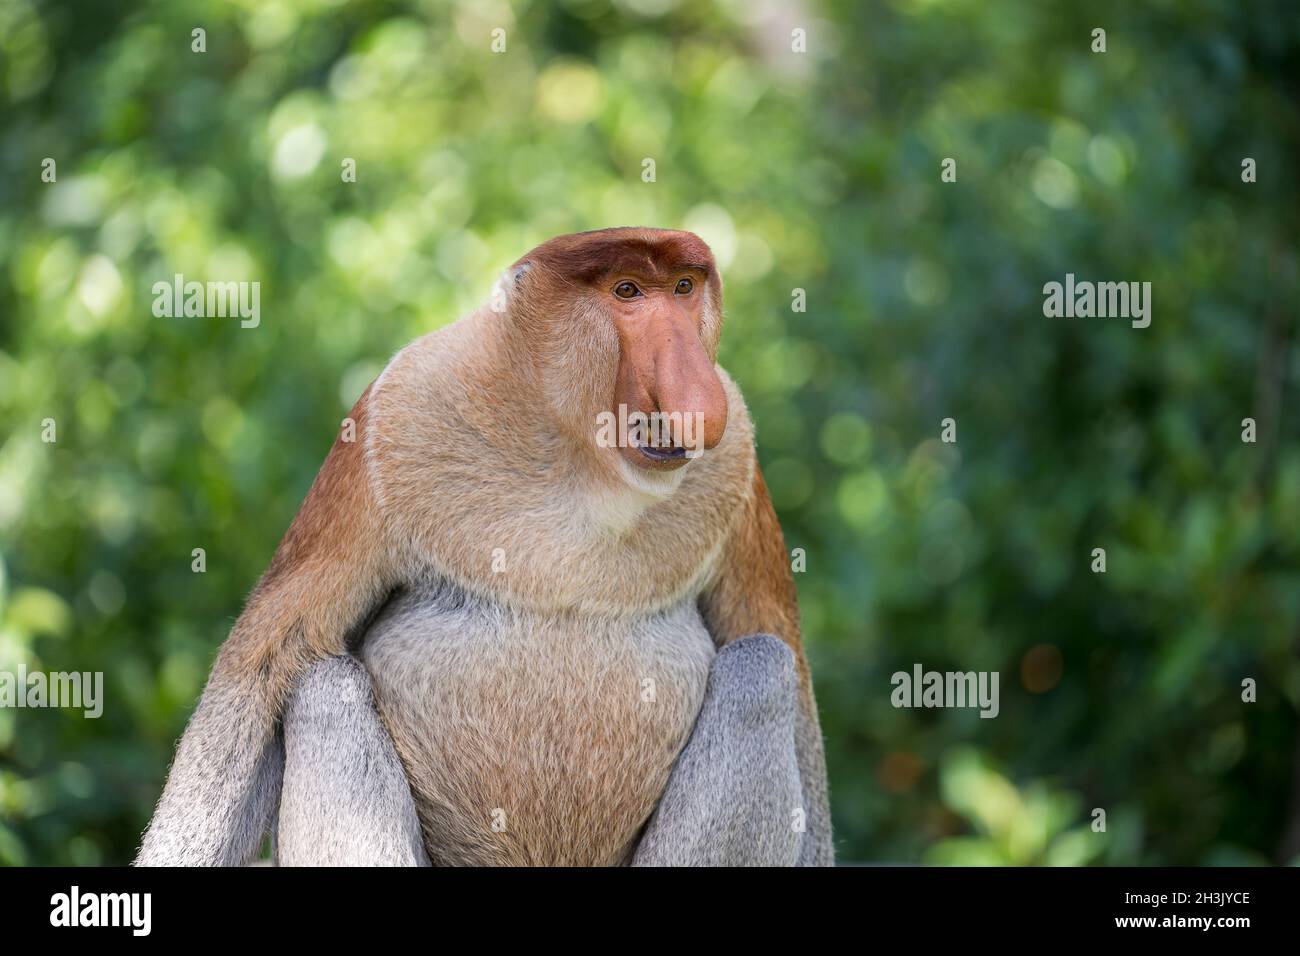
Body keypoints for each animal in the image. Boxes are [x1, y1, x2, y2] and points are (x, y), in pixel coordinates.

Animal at [139, 226, 832, 868]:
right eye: (628, 291)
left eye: (684, 288)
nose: (694, 395)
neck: (576, 459)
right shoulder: (390, 423)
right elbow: (266, 663)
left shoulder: (737, 464)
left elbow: (783, 665)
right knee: (323, 686)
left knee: (762, 667)